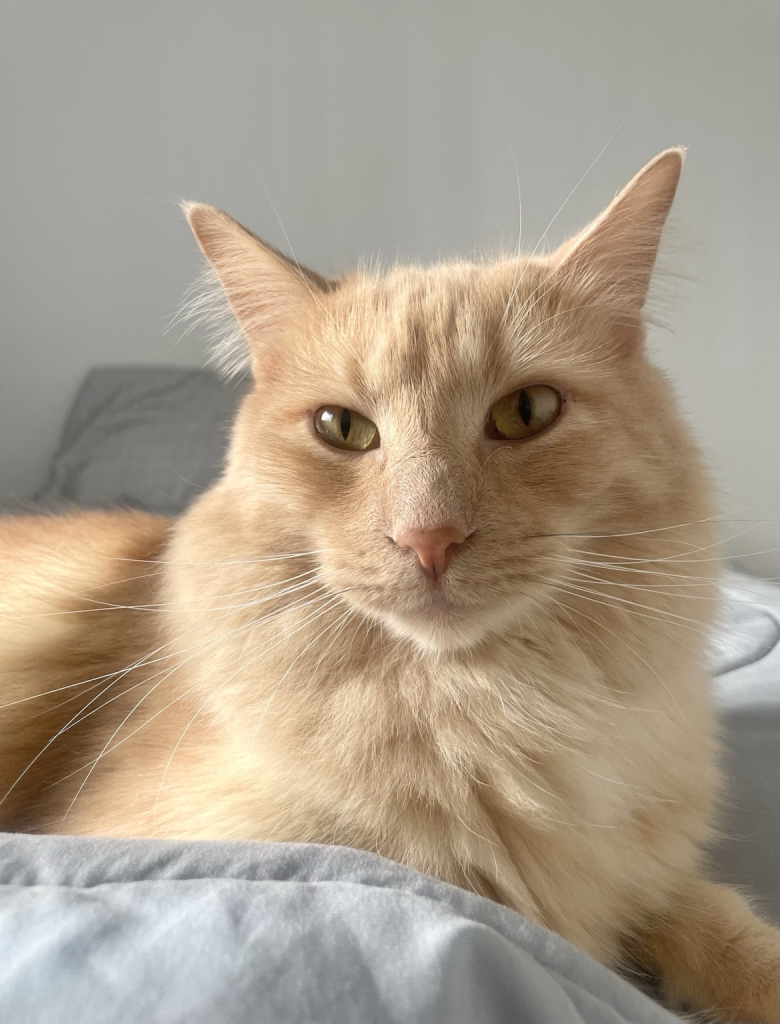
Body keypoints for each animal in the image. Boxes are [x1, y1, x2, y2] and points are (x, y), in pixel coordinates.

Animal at [0, 148, 773, 1019]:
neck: (485, 715)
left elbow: (715, 920)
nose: (428, 538)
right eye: (342, 429)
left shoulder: (638, 873)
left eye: (527, 412)